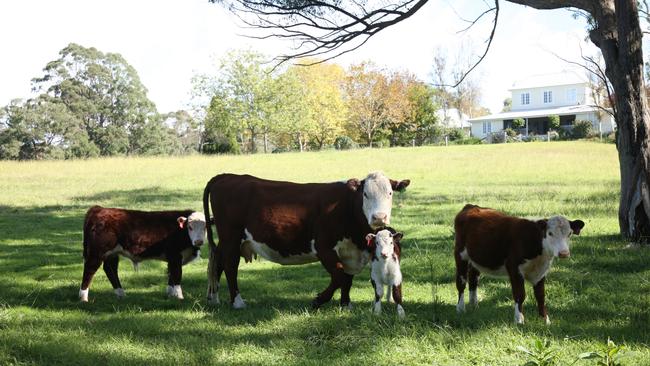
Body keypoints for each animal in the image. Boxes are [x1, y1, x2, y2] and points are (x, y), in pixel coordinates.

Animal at [78, 206, 206, 304]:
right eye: (190, 227)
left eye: (205, 227)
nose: (198, 241)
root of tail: (99, 209)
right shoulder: (175, 256)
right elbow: (177, 275)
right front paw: (180, 297)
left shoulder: (172, 259)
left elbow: (171, 276)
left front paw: (170, 295)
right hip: (97, 253)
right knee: (90, 269)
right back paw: (83, 297)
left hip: (112, 253)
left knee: (110, 269)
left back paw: (121, 294)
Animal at [200, 172, 408, 308]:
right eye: (365, 194)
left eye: (390, 193)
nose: (379, 217)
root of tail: (227, 176)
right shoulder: (324, 247)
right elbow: (339, 276)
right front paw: (318, 300)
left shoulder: (350, 253)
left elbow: (347, 279)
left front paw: (345, 305)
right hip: (231, 238)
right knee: (230, 266)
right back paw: (237, 302)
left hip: (228, 241)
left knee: (217, 264)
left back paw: (214, 298)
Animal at [450, 204, 584, 324]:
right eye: (550, 233)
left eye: (569, 233)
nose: (564, 253)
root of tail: (471, 207)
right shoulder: (514, 268)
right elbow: (520, 294)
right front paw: (519, 319)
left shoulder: (541, 271)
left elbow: (540, 296)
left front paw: (545, 320)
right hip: (460, 255)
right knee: (461, 282)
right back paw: (460, 308)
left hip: (476, 260)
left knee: (473, 280)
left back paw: (474, 306)